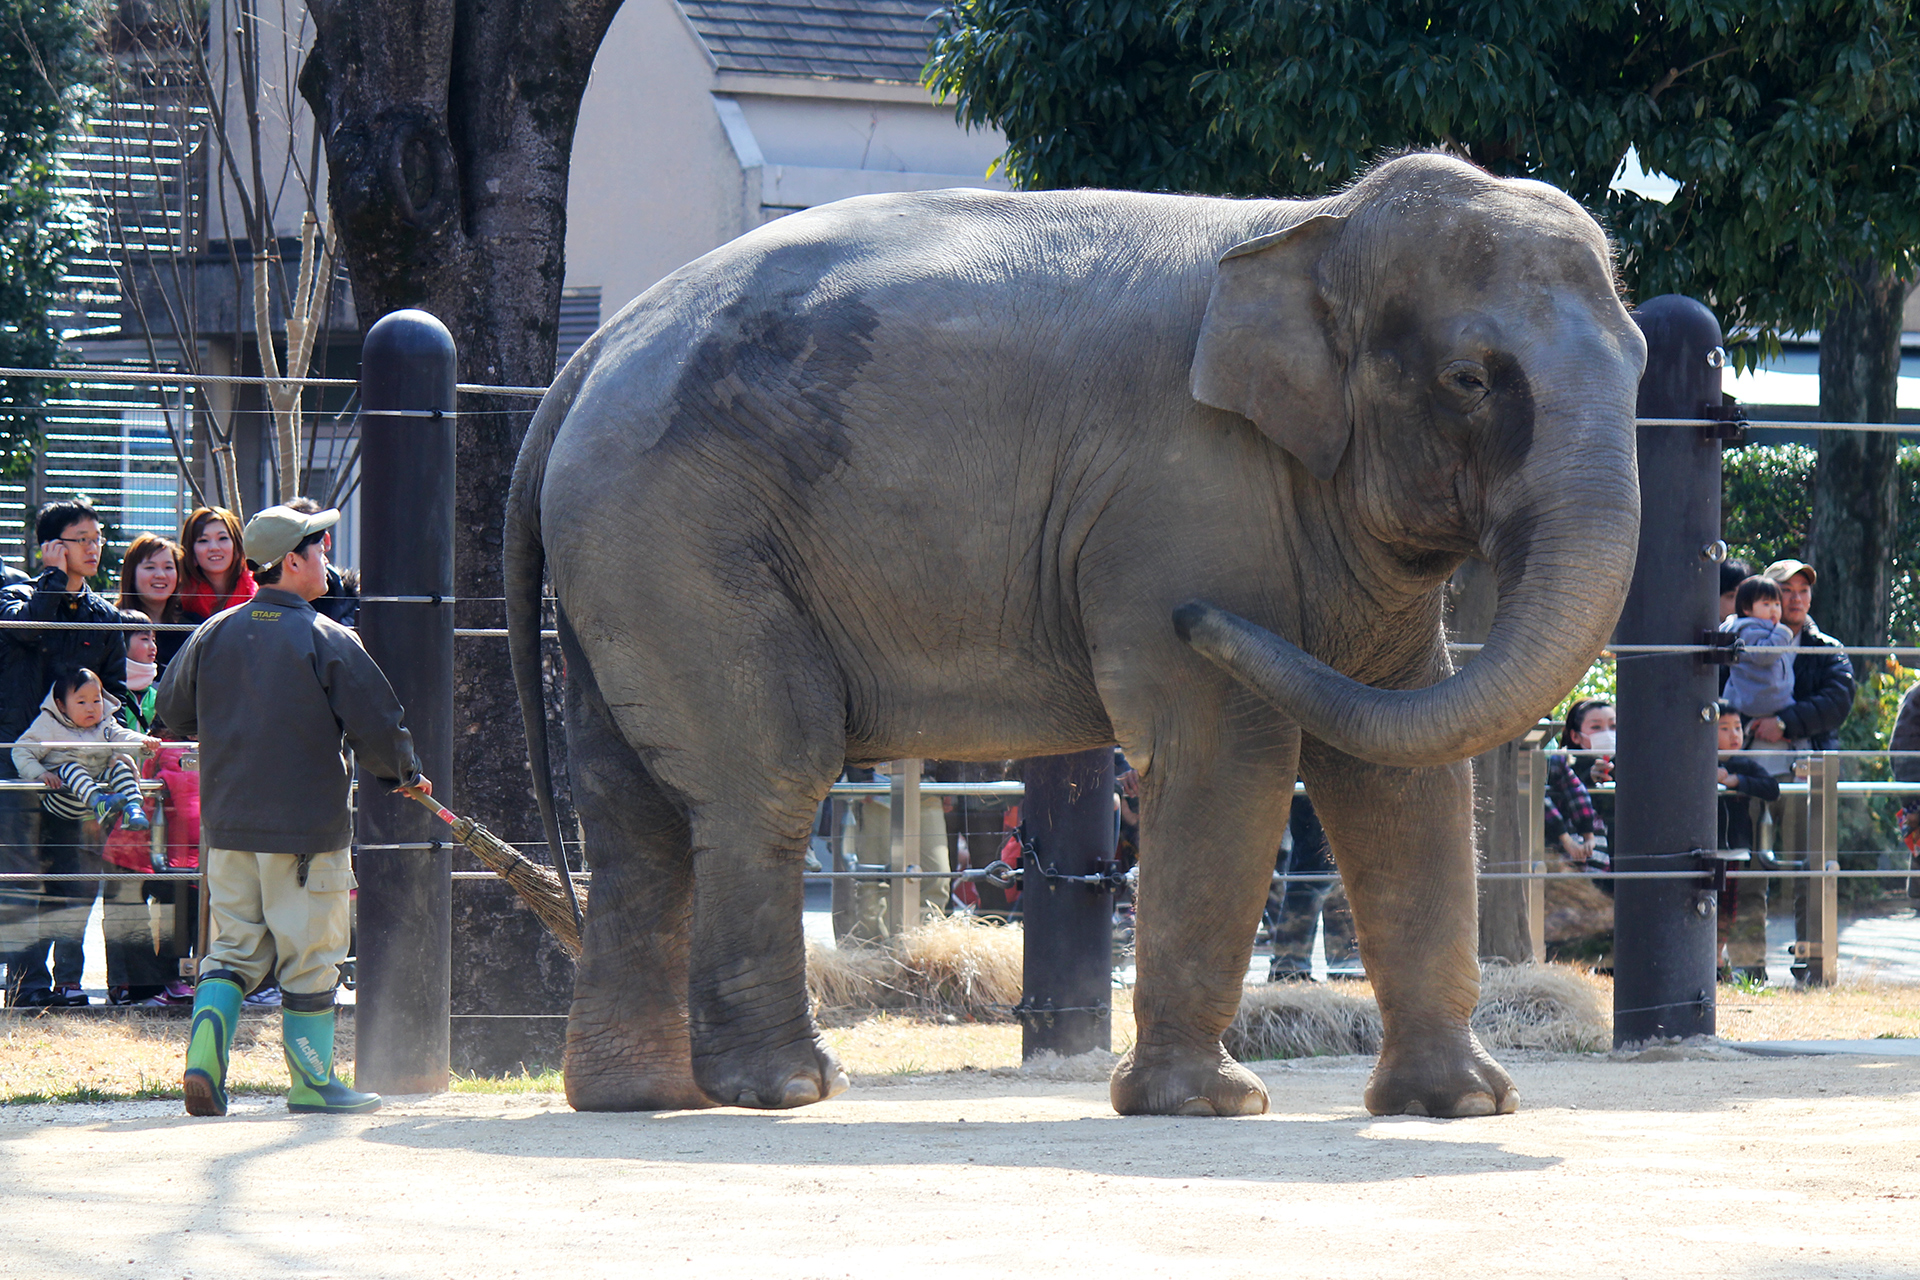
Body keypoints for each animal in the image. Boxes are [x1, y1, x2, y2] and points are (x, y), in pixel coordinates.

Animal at [510, 147, 1651, 1113]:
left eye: (1643, 361)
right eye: (1470, 380)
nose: (1199, 619)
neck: (1307, 226)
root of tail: (592, 354)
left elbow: (1397, 773)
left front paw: (1463, 1104)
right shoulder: (1182, 496)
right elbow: (1226, 749)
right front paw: (1209, 1103)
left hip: (626, 555)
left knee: (633, 812)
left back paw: (641, 1097)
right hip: (682, 536)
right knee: (767, 780)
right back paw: (791, 1086)